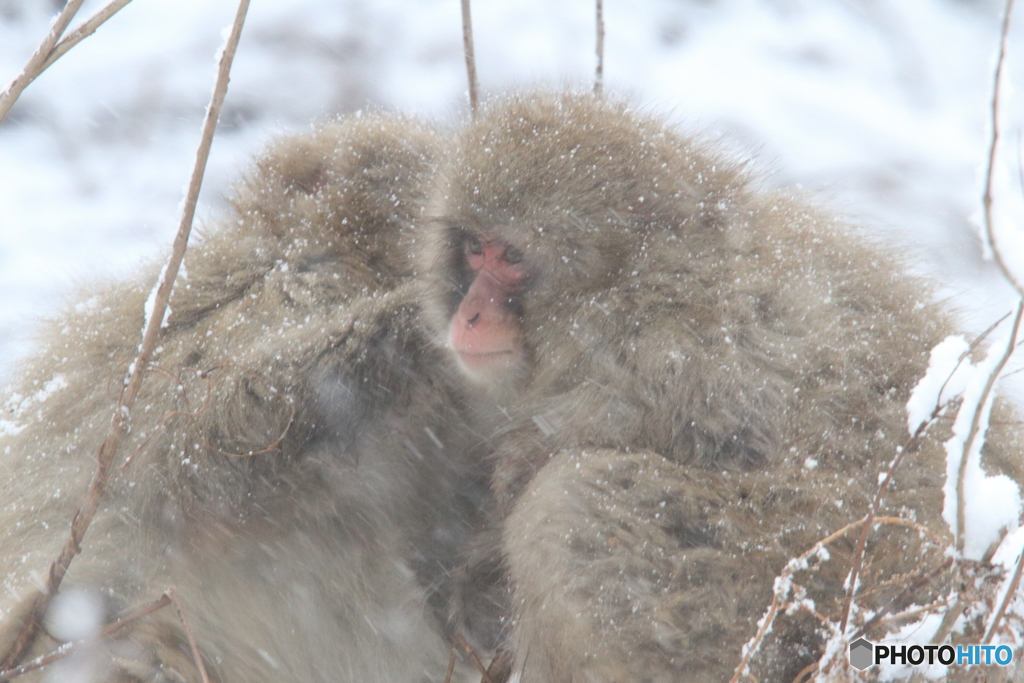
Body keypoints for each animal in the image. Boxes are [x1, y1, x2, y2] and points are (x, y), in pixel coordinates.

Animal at [421, 93, 1024, 683]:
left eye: (511, 257)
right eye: (474, 249)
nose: (469, 314)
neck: (633, 280)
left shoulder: (661, 360)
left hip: (789, 590)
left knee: (567, 503)